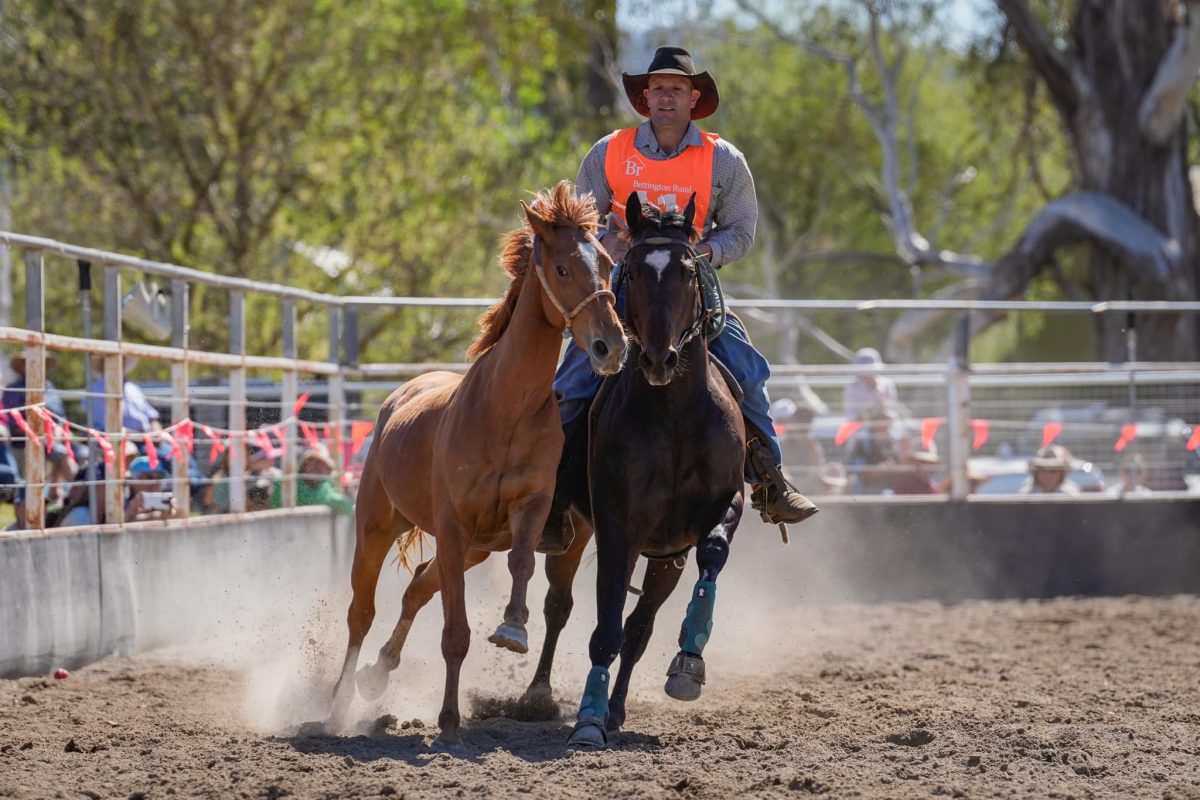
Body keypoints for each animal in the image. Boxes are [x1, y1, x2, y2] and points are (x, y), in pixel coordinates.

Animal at [328, 183, 628, 743]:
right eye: (561, 268)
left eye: (605, 263)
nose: (610, 344)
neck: (504, 408)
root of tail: (399, 397)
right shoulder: (451, 525)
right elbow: (455, 634)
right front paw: (448, 721)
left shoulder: (528, 510)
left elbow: (522, 563)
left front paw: (513, 627)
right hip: (377, 526)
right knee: (362, 611)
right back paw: (336, 705)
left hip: (472, 547)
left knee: (418, 586)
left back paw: (379, 673)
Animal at [523, 194, 739, 753]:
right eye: (636, 272)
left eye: (687, 271)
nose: (659, 357)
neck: (675, 414)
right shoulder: (617, 527)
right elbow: (604, 628)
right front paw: (588, 720)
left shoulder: (715, 514)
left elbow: (712, 554)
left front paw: (688, 661)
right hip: (574, 532)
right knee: (560, 605)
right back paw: (538, 694)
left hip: (665, 559)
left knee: (639, 628)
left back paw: (619, 708)